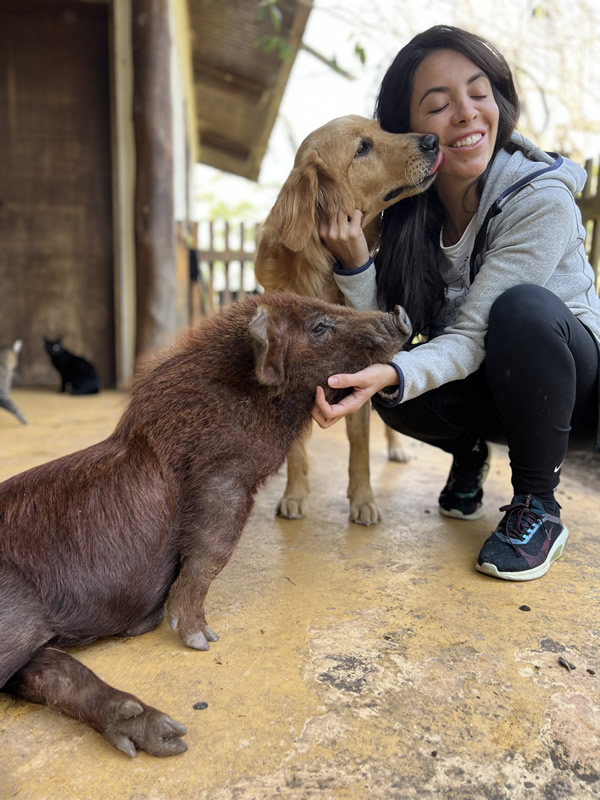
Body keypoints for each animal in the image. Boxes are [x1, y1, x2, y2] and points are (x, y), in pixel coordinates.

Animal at [0, 290, 408, 756]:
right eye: (320, 327)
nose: (400, 312)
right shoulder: (223, 476)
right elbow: (212, 553)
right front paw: (202, 640)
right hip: (14, 615)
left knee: (48, 675)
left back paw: (167, 735)